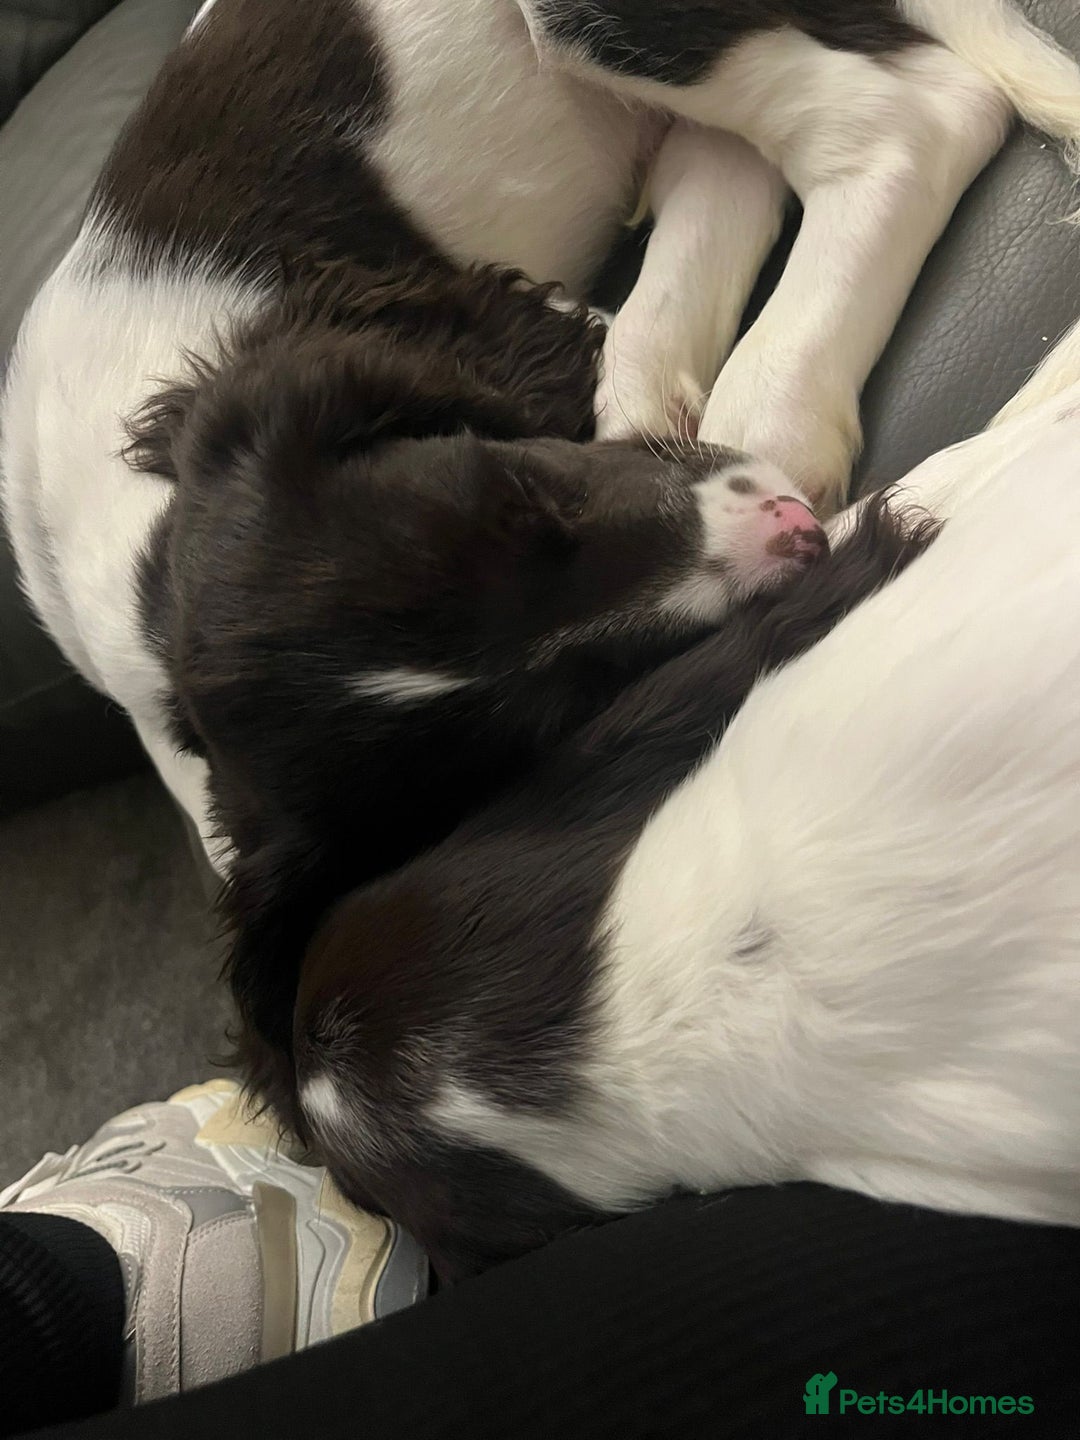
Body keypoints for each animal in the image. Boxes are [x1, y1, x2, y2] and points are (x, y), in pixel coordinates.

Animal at [2, 0, 1078, 1103]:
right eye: (565, 710)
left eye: (522, 494)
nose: (788, 537)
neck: (134, 567)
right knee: (732, 170)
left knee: (912, 115)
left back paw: (775, 394)